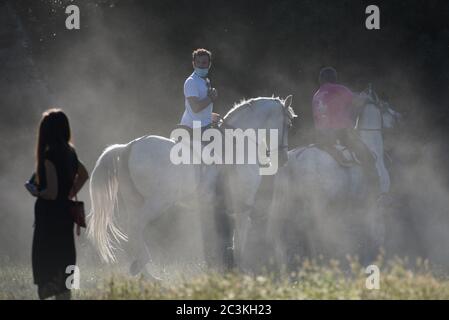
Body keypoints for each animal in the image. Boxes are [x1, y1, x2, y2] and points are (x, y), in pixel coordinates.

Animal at [87, 95, 298, 278]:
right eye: (288, 124)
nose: (283, 159)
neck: (239, 144)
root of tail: (129, 147)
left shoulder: (218, 208)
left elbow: (222, 240)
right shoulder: (241, 206)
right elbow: (240, 237)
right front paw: (240, 270)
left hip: (135, 201)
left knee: (134, 233)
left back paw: (146, 273)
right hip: (157, 202)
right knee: (136, 228)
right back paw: (146, 270)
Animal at [268, 90, 400, 272]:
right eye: (384, 106)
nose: (397, 117)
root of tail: (294, 159)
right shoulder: (375, 205)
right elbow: (375, 233)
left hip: (284, 204)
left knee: (281, 233)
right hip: (317, 204)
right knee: (313, 230)